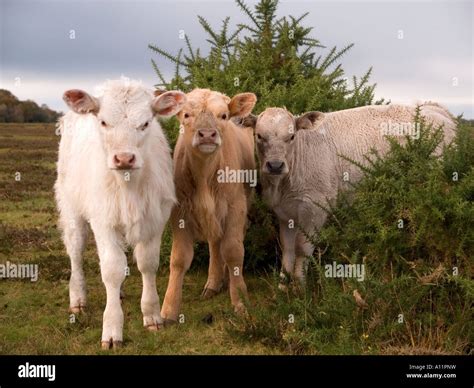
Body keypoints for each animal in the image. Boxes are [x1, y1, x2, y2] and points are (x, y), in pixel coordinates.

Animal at [160, 88, 258, 322]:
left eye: (223, 115)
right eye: (186, 115)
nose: (206, 134)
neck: (205, 176)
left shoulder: (235, 208)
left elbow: (233, 251)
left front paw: (240, 301)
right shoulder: (180, 213)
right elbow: (179, 258)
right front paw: (168, 310)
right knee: (215, 243)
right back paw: (213, 283)